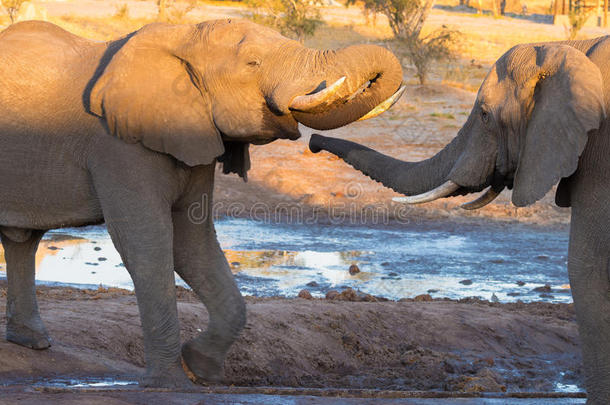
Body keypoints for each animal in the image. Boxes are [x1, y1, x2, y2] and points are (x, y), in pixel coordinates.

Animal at [0, 18, 404, 386]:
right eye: (253, 62)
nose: (315, 144)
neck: (184, 35)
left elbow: (192, 241)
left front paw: (200, 366)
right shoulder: (118, 144)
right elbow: (147, 241)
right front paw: (171, 383)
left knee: (22, 240)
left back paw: (33, 342)